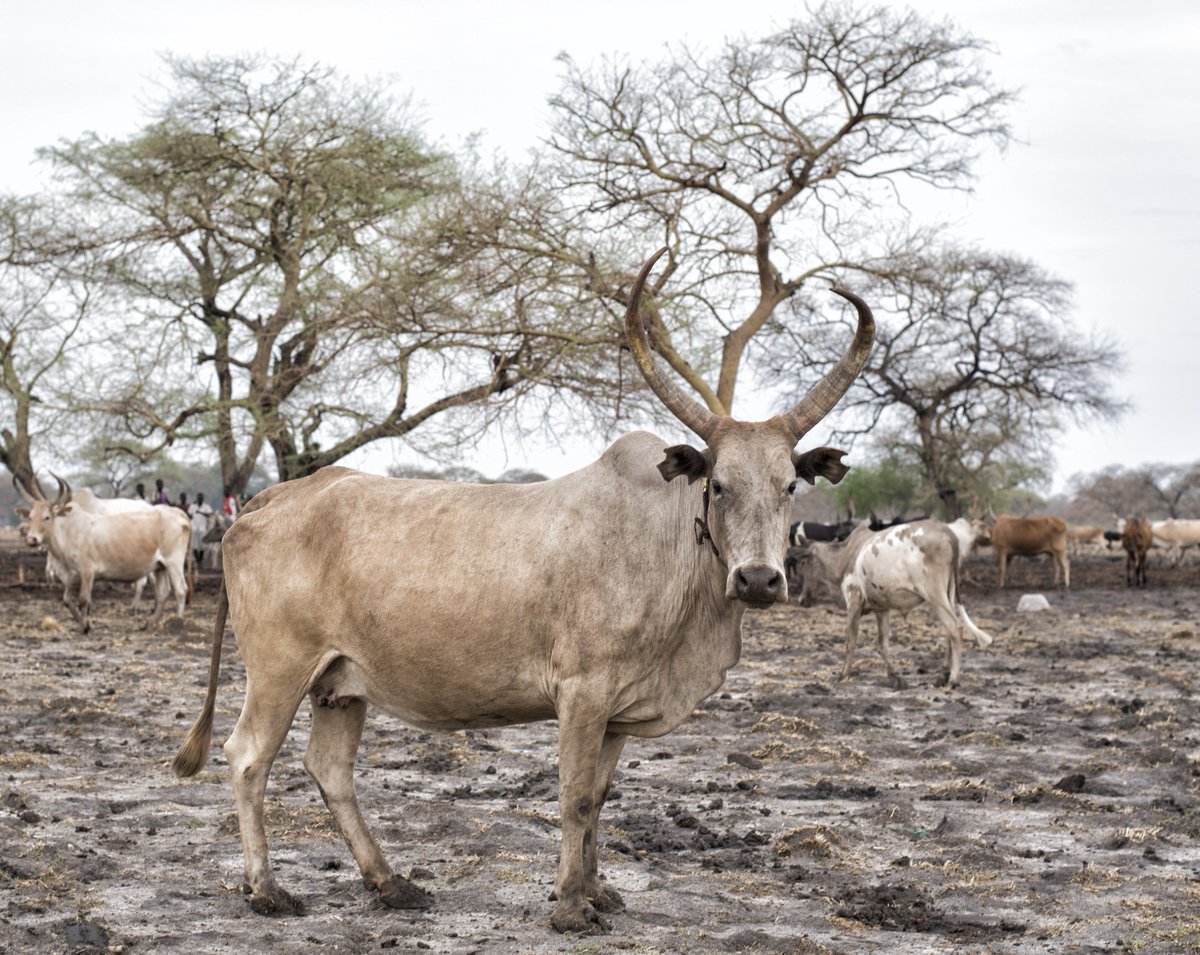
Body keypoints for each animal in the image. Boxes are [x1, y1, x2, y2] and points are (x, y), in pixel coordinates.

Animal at [12, 474, 192, 633]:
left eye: (47, 517)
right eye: (30, 517)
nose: (31, 539)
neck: (68, 531)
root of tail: (178, 513)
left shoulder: (87, 572)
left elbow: (83, 600)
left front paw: (84, 627)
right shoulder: (74, 576)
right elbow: (67, 600)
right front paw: (82, 622)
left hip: (174, 563)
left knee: (180, 590)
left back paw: (178, 622)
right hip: (160, 566)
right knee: (163, 593)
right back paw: (150, 623)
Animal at [171, 249, 875, 933]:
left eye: (790, 485)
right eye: (719, 484)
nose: (758, 579)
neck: (665, 544)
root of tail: (271, 498)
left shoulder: (617, 711)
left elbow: (600, 798)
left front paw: (599, 891)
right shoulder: (583, 693)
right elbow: (575, 796)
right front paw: (570, 906)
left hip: (340, 684)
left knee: (329, 770)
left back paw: (391, 883)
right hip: (280, 669)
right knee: (248, 757)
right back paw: (267, 889)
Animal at [792, 521, 992, 689]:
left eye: (804, 562)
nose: (801, 599)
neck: (844, 557)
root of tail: (946, 531)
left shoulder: (853, 600)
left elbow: (851, 641)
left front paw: (843, 674)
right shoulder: (882, 609)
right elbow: (883, 644)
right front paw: (895, 677)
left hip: (935, 594)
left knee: (955, 627)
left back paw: (953, 679)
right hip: (948, 593)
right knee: (948, 631)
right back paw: (942, 675)